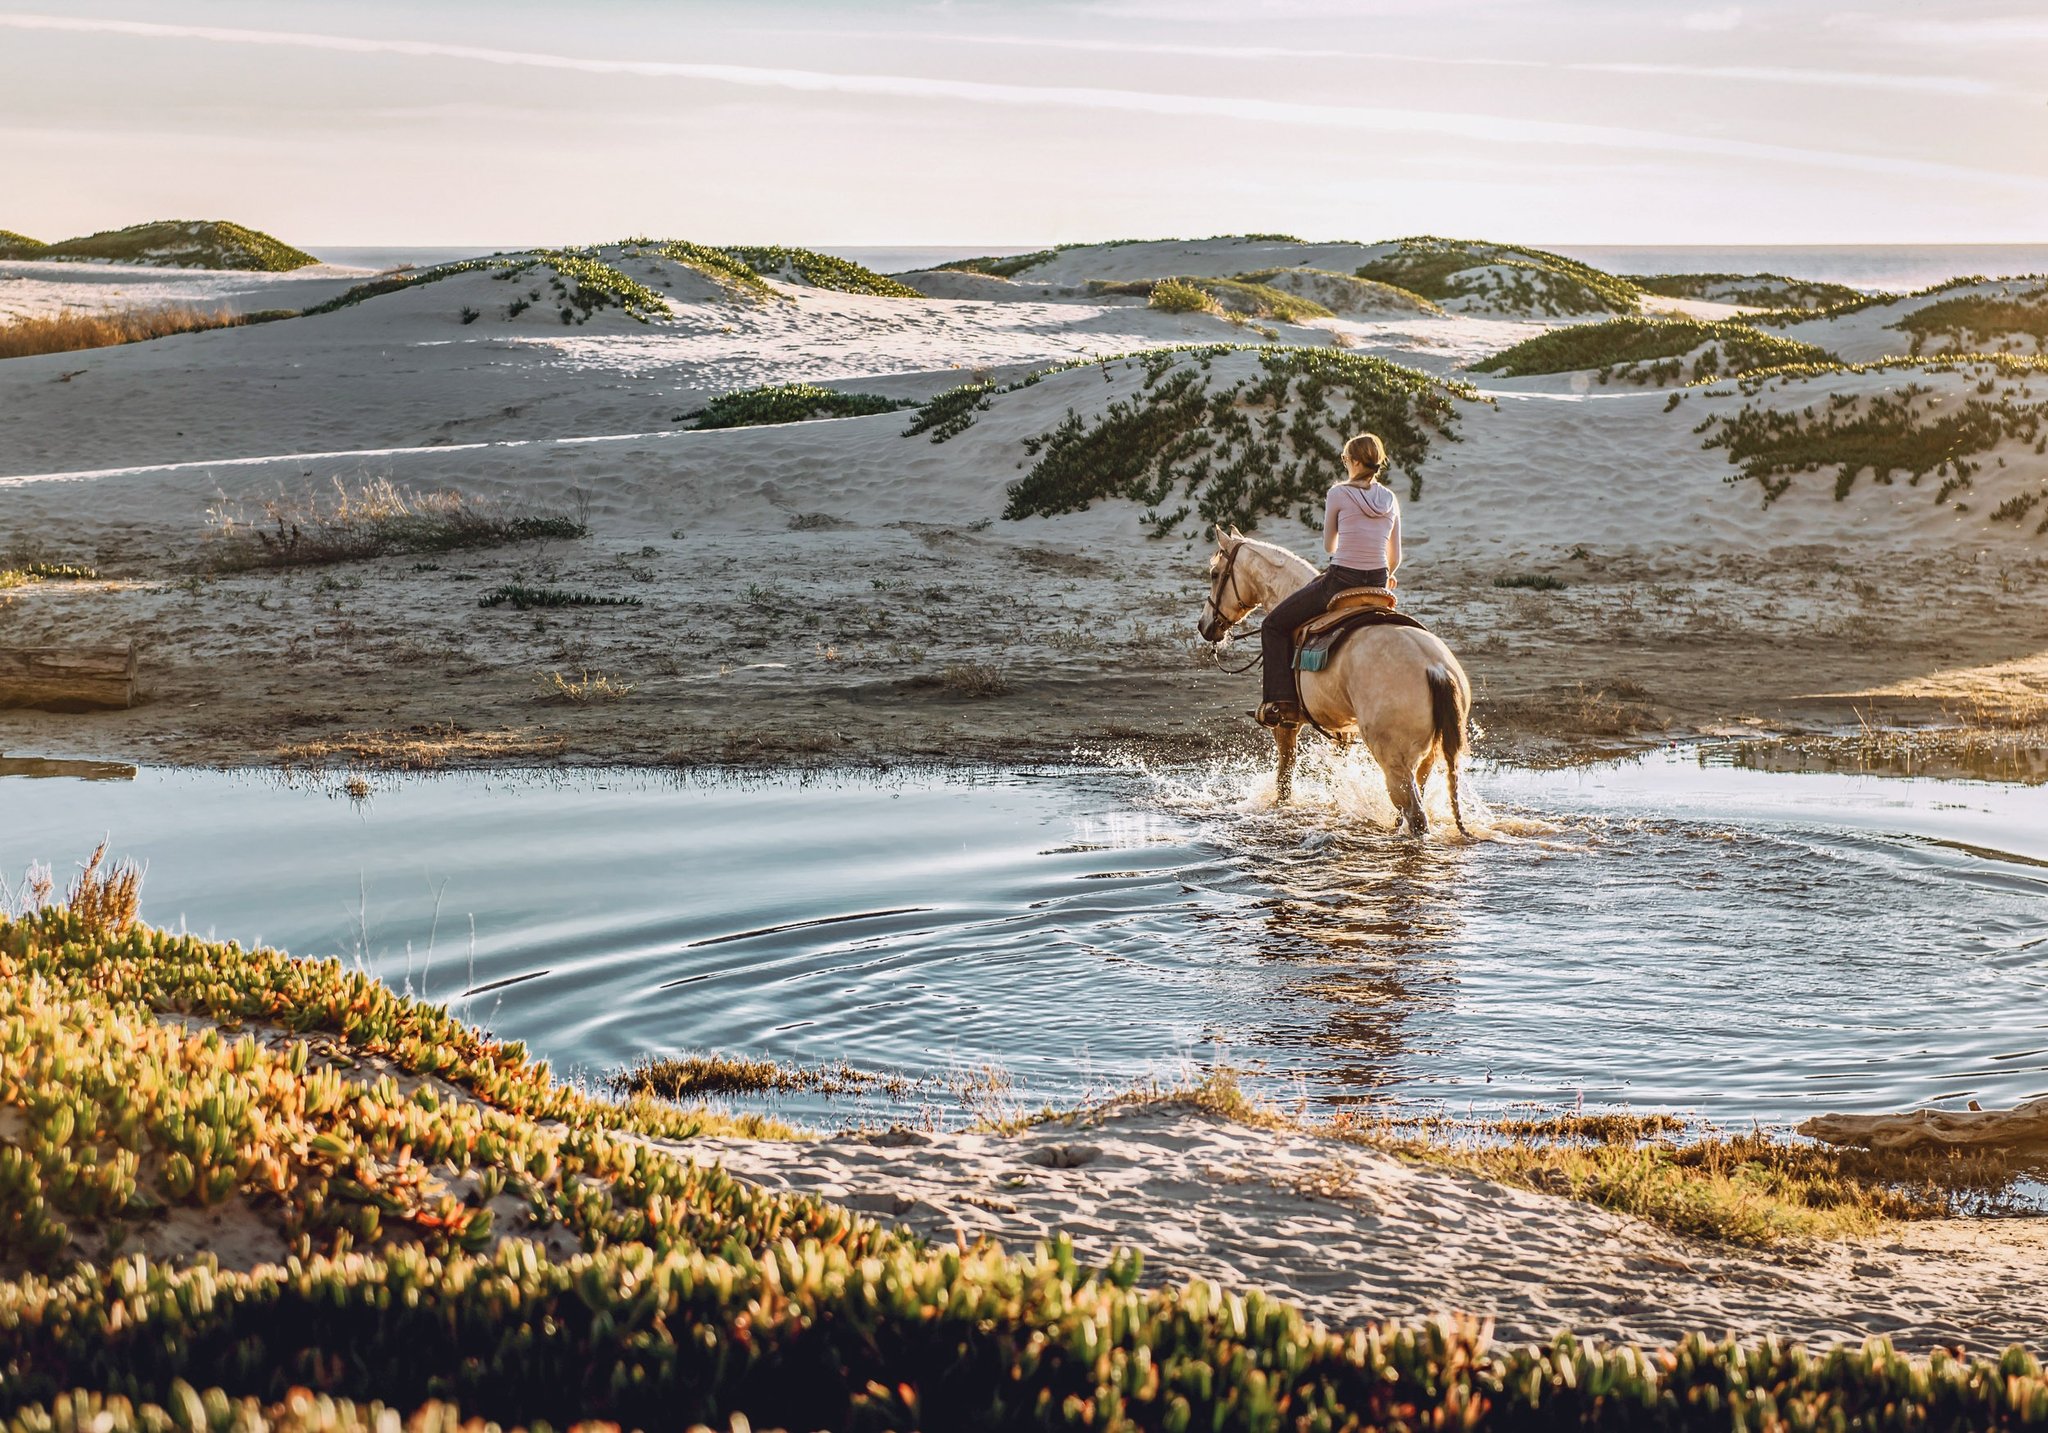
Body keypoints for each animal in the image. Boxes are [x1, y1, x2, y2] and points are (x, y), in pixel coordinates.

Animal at [1196, 528, 1474, 839]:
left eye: (1215, 574)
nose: (1204, 626)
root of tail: (1435, 667)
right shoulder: (1342, 731)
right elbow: (1334, 775)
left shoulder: (1286, 725)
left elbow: (1284, 778)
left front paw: (1280, 810)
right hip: (1428, 759)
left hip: (1394, 762)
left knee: (1415, 816)